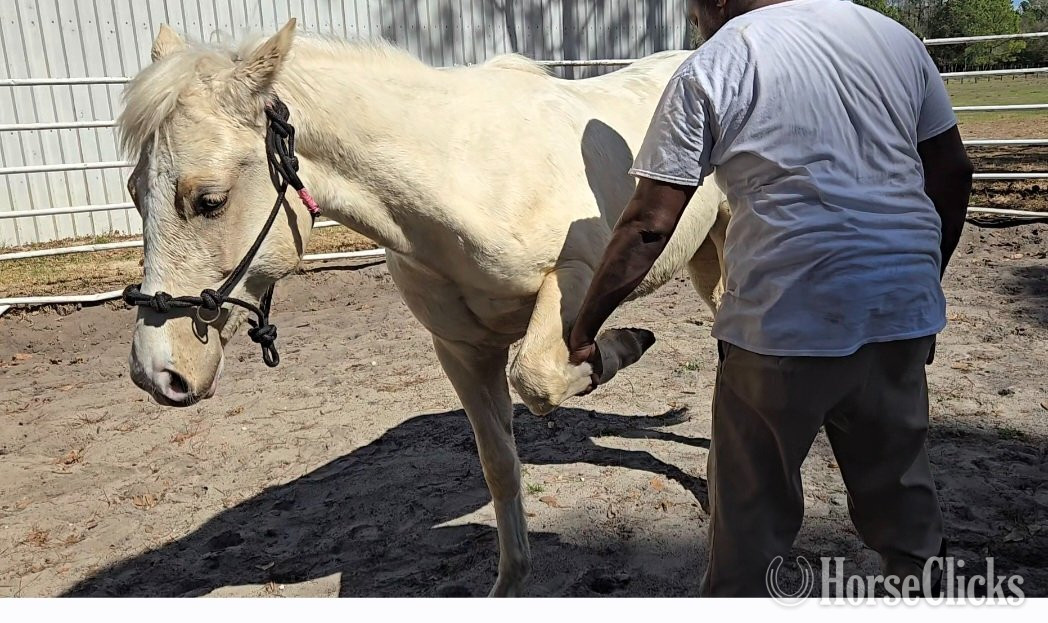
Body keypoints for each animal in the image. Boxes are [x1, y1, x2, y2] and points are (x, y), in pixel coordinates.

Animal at [122, 19, 729, 596]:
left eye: (209, 200)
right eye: (133, 191)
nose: (157, 371)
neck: (462, 179)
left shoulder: (575, 280)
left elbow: (536, 379)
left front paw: (622, 346)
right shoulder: (462, 350)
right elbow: (501, 467)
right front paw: (510, 584)